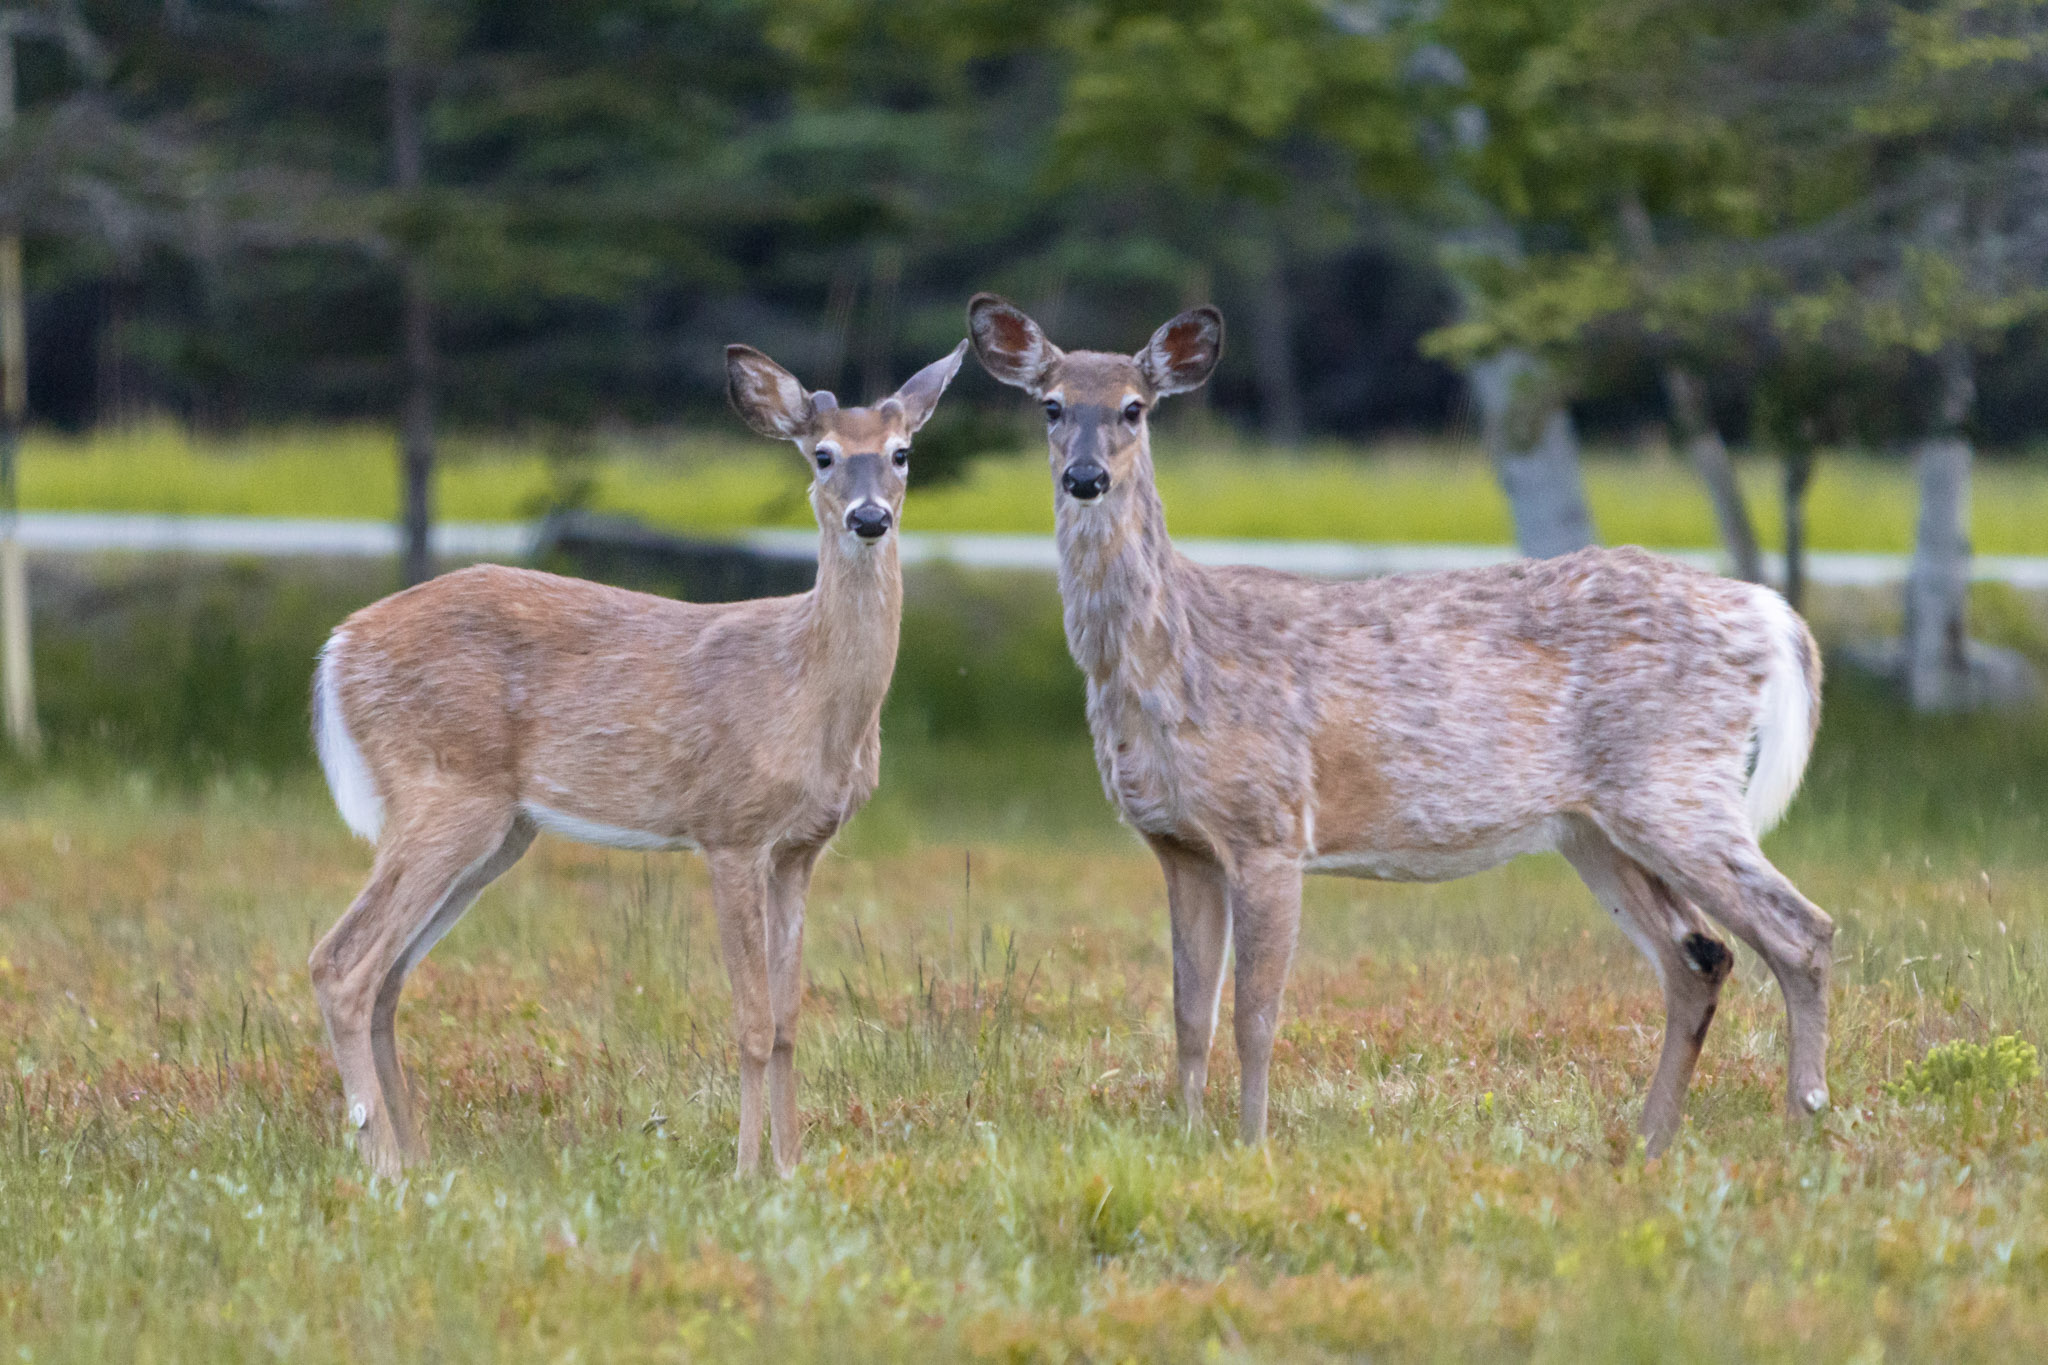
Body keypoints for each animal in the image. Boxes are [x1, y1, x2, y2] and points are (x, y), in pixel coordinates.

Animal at [307, 338, 967, 1178]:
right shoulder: (730, 828)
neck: (808, 692)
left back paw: (423, 1161)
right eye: (821, 455)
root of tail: (338, 645)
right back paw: (385, 1166)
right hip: (442, 791)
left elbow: (789, 1018)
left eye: (901, 452)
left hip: (500, 833)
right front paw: (746, 1170)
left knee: (389, 974)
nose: (870, 517)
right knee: (341, 964)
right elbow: (752, 1019)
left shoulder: (800, 848)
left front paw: (792, 1167)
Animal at [966, 293, 1833, 1156]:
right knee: (1702, 956)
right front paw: (1184, 1139)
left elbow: (1254, 1014)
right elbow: (1189, 1013)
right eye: (1051, 405)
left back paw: (1802, 1118)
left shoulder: (1269, 824)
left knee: (1802, 930)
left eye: (1134, 408)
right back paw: (1649, 1140)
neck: (1167, 656)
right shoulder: (1179, 842)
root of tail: (1768, 612)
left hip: (1676, 785)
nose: (1086, 477)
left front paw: (1251, 1145)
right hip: (1593, 826)